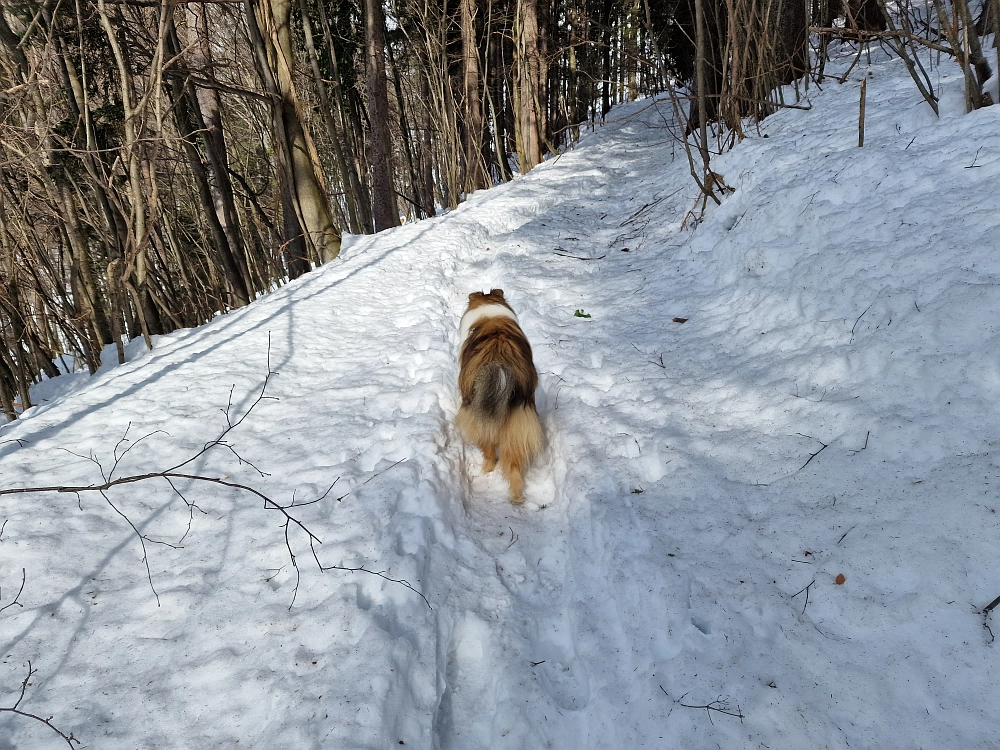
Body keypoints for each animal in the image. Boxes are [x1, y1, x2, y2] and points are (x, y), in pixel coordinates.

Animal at [458, 290, 544, 506]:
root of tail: (499, 363)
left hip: (479, 419)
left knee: (489, 451)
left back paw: (486, 471)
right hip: (518, 424)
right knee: (514, 466)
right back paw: (516, 496)